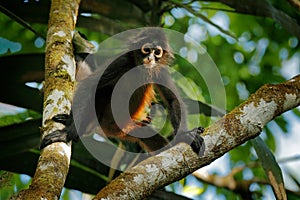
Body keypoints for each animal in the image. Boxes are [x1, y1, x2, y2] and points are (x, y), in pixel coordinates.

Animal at [39, 27, 204, 154]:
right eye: (146, 50)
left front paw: (184, 135)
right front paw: (68, 134)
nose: (150, 58)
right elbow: (90, 86)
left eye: (157, 52)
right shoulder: (122, 61)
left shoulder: (160, 70)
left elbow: (172, 100)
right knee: (102, 90)